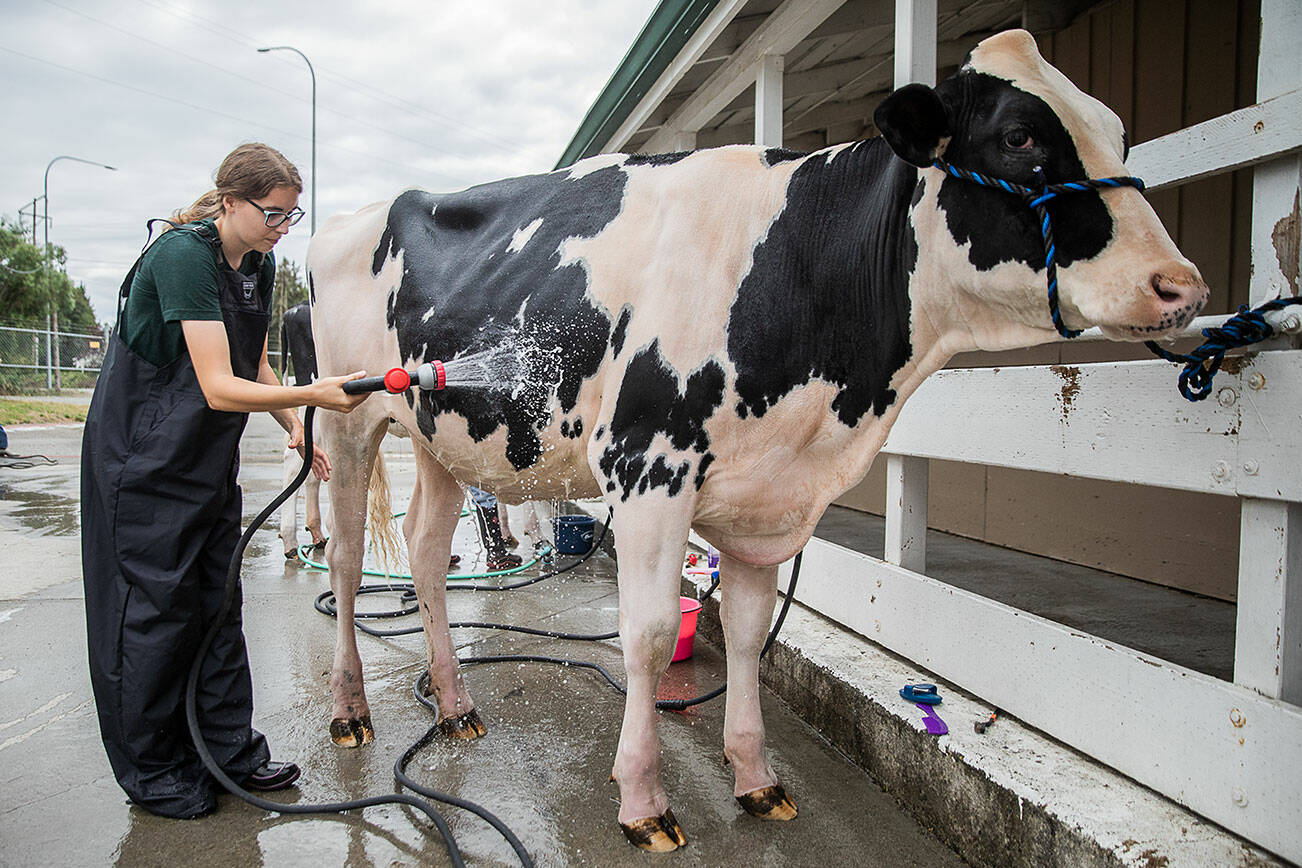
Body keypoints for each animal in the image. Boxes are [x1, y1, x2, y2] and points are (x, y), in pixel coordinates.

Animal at [309, 30, 1203, 853]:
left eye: (1119, 133)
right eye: (1019, 135)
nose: (1182, 285)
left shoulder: (761, 497)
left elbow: (745, 633)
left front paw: (755, 777)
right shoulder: (647, 469)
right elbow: (645, 636)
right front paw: (643, 801)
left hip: (438, 434)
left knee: (427, 553)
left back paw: (457, 704)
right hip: (348, 419)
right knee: (349, 560)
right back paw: (350, 710)